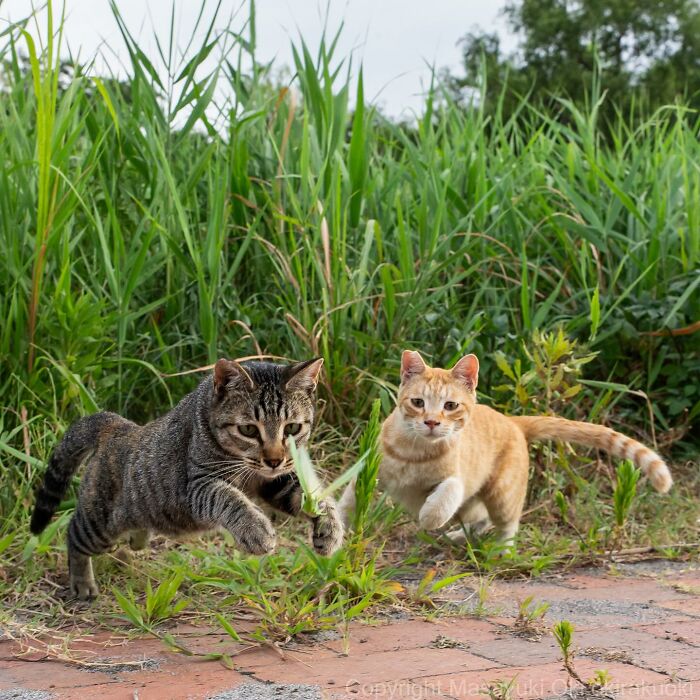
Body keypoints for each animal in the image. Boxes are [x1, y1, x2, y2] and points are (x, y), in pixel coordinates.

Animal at [32, 358, 344, 600]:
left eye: (291, 428)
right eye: (248, 430)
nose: (274, 459)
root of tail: (116, 424)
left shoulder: (275, 481)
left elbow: (313, 495)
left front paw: (330, 528)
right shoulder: (199, 485)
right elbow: (229, 498)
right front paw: (256, 530)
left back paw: (138, 539)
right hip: (100, 524)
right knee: (73, 533)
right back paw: (82, 583)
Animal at [340, 352, 672, 544]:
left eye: (450, 406)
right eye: (418, 402)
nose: (432, 422)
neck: (414, 451)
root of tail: (513, 421)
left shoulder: (457, 479)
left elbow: (444, 497)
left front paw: (428, 516)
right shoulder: (369, 471)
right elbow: (348, 500)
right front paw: (338, 531)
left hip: (501, 494)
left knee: (506, 524)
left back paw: (501, 550)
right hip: (477, 503)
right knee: (480, 519)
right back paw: (458, 536)